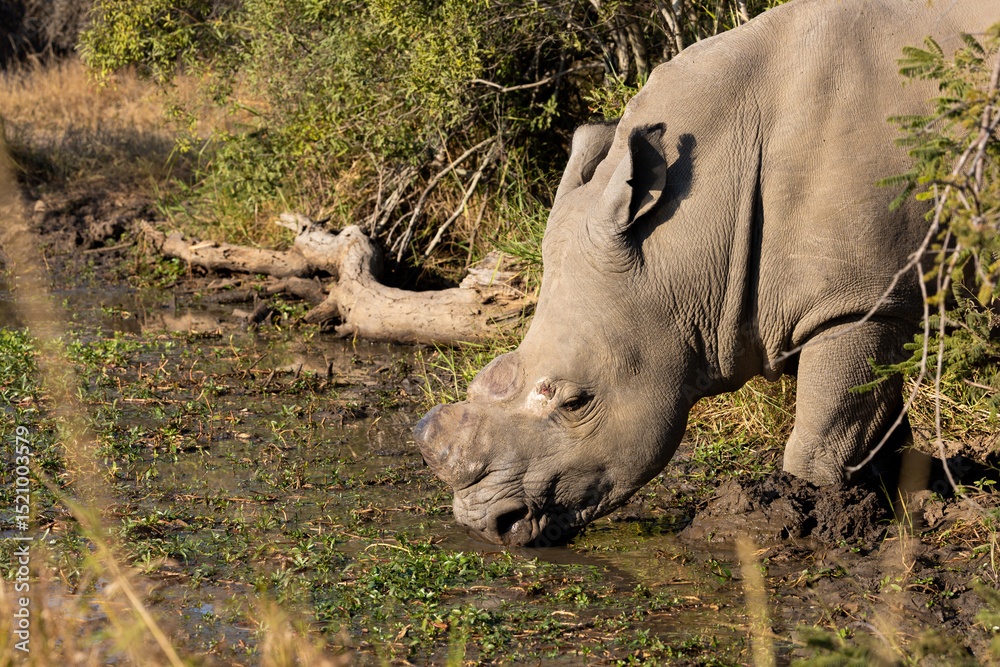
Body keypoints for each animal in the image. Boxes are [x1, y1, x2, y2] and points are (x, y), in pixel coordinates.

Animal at [414, 0, 1000, 547]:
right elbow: (874, 411)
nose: (486, 526)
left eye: (576, 402)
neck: (693, 236)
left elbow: (825, 429)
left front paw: (809, 519)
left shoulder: (857, 303)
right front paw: (895, 495)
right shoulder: (861, 300)